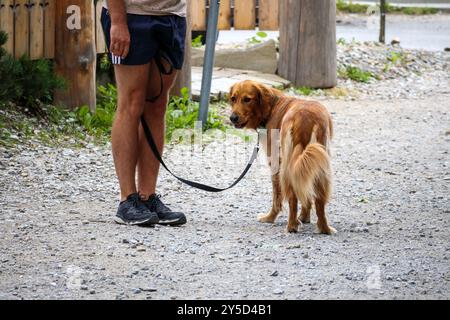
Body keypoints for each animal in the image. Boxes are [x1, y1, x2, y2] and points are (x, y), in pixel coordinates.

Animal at [230, 80, 336, 235]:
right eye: (233, 98)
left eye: (247, 99)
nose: (232, 118)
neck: (272, 108)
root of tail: (304, 118)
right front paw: (304, 218)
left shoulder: (275, 163)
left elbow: (277, 197)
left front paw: (270, 218)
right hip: (320, 163)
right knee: (319, 199)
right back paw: (324, 228)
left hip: (286, 168)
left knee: (292, 196)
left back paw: (291, 226)